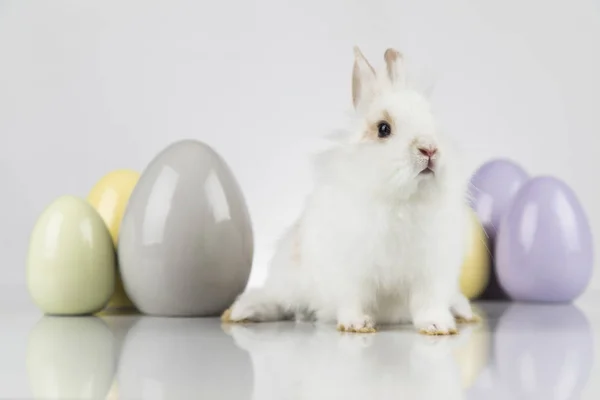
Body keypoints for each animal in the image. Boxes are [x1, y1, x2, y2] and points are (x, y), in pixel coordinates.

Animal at [223, 46, 476, 334]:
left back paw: (463, 312)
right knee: (279, 302)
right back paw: (242, 312)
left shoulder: (431, 273)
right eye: (383, 129)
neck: (401, 201)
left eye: (432, 121)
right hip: (288, 282)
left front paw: (437, 326)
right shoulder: (350, 271)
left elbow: (428, 303)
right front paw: (357, 324)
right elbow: (353, 299)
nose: (430, 149)